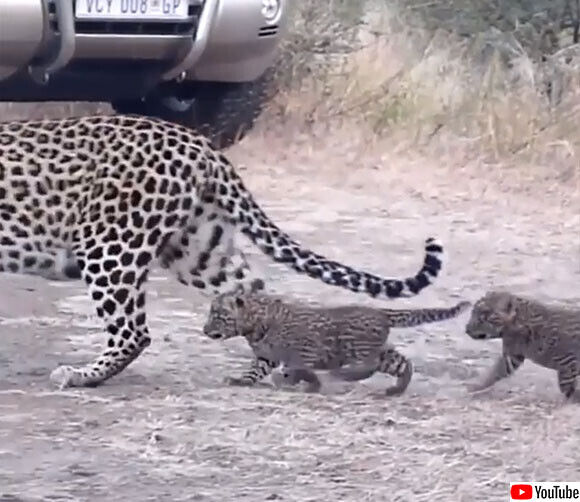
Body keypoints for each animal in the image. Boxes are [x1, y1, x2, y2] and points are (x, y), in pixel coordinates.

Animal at [1, 113, 444, 388]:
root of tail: (198, 143)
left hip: (109, 242)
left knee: (134, 331)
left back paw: (80, 375)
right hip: (198, 249)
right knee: (255, 296)